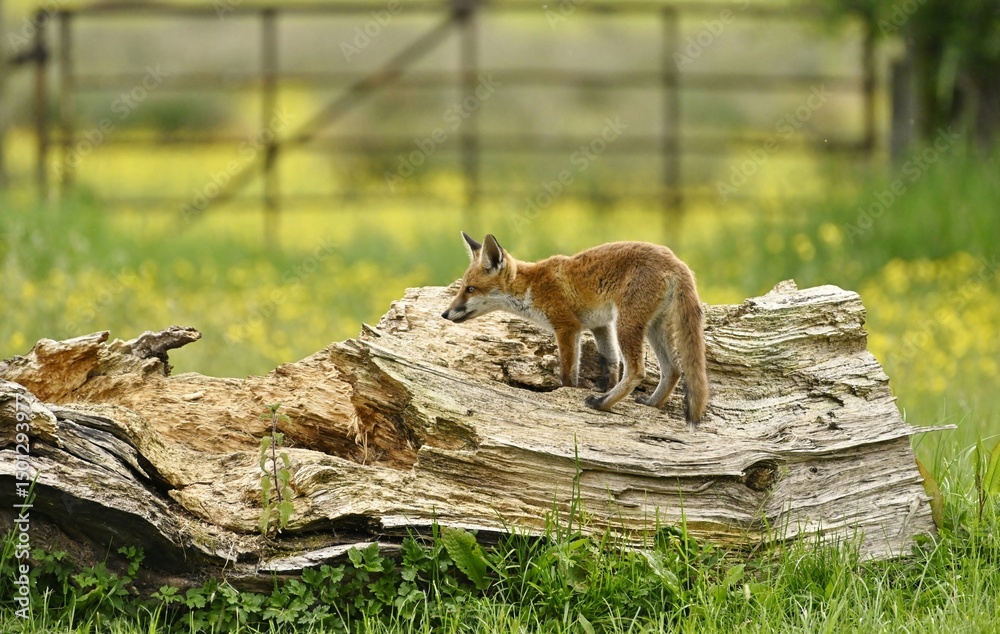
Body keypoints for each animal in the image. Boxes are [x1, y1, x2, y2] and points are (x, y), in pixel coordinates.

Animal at [441, 232, 709, 428]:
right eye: (463, 287)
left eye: (470, 289)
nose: (444, 314)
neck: (531, 287)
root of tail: (676, 260)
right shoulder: (601, 325)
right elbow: (610, 364)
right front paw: (603, 386)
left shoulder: (567, 327)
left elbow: (568, 374)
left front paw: (572, 392)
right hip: (651, 327)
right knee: (673, 369)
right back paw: (651, 403)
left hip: (627, 324)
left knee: (637, 371)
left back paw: (603, 404)